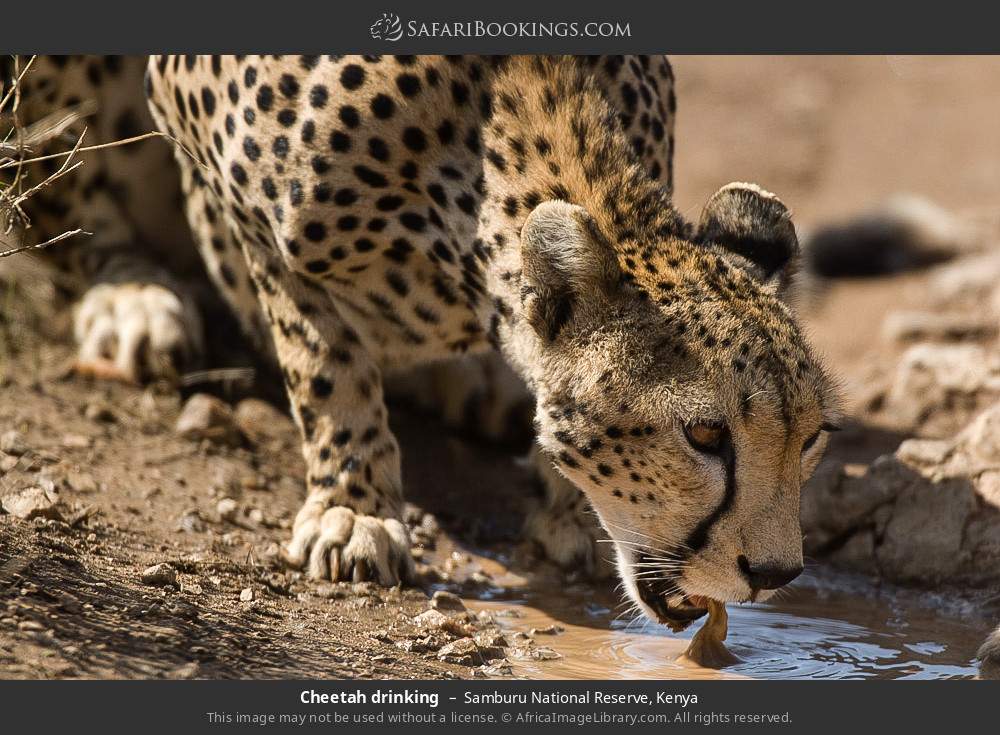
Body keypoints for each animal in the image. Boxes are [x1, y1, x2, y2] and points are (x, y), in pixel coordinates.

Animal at [139, 54, 844, 628]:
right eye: (703, 435)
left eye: (811, 437)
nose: (775, 574)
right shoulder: (255, 223)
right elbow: (324, 364)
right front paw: (356, 508)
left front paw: (568, 513)